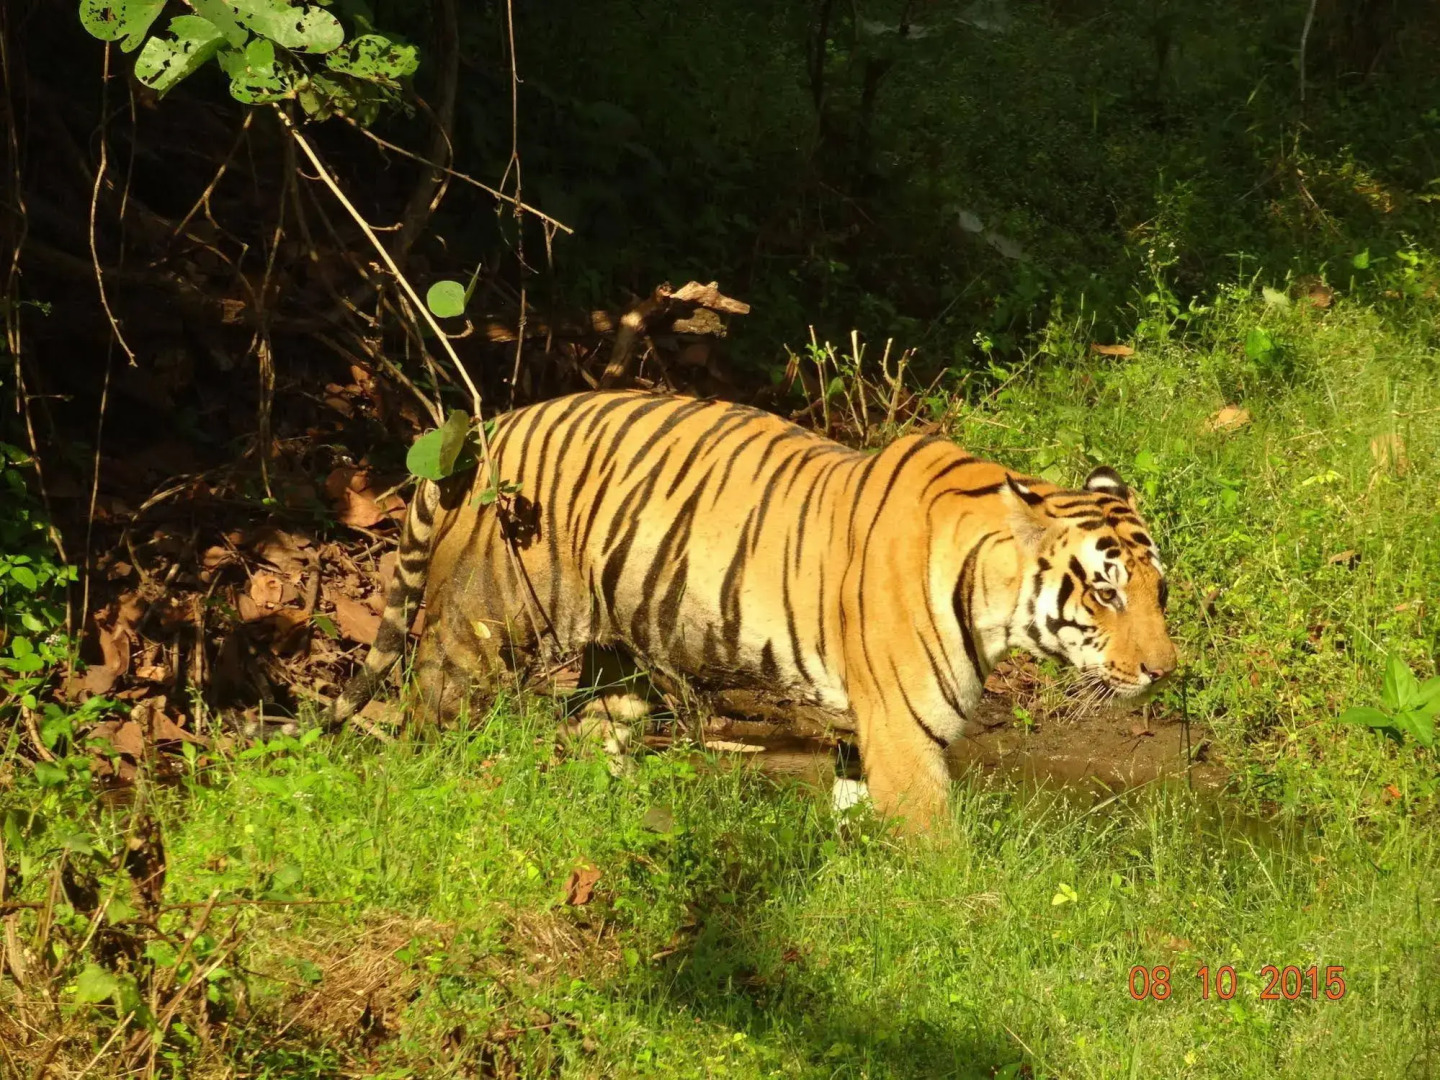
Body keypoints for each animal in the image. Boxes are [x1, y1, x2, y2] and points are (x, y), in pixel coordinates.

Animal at [332, 389, 1176, 830]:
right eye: (1106, 591)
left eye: (1159, 592)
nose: (1166, 672)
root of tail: (490, 426)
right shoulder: (906, 734)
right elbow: (942, 860)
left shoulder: (866, 729)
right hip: (485, 629)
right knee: (427, 714)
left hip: (622, 657)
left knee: (594, 730)